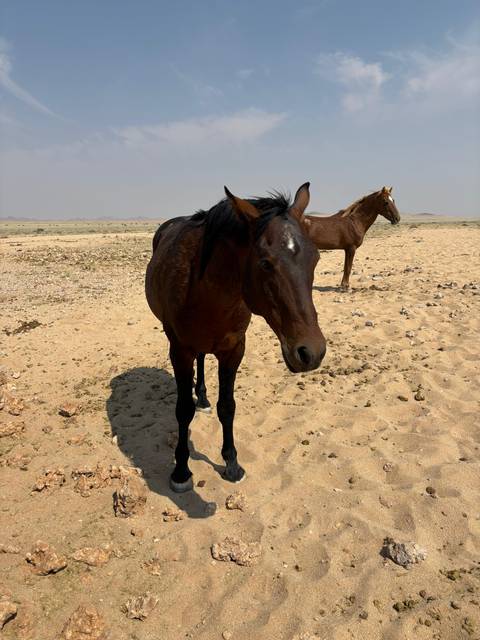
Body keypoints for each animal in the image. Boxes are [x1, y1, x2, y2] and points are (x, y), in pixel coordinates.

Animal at [145, 183, 326, 492]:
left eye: (315, 258)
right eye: (265, 263)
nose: (311, 352)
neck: (203, 289)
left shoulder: (234, 349)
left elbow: (227, 406)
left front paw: (231, 463)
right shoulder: (179, 351)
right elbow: (183, 410)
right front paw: (180, 470)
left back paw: (203, 398)